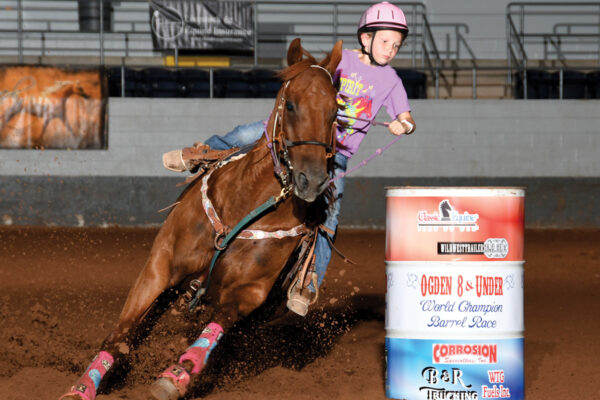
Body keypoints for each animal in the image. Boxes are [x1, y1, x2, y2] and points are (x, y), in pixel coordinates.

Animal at [61, 39, 342, 400]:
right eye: (291, 105)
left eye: (335, 113)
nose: (313, 180)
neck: (241, 206)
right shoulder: (159, 268)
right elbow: (121, 333)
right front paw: (83, 387)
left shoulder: (249, 294)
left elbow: (212, 331)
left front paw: (174, 377)